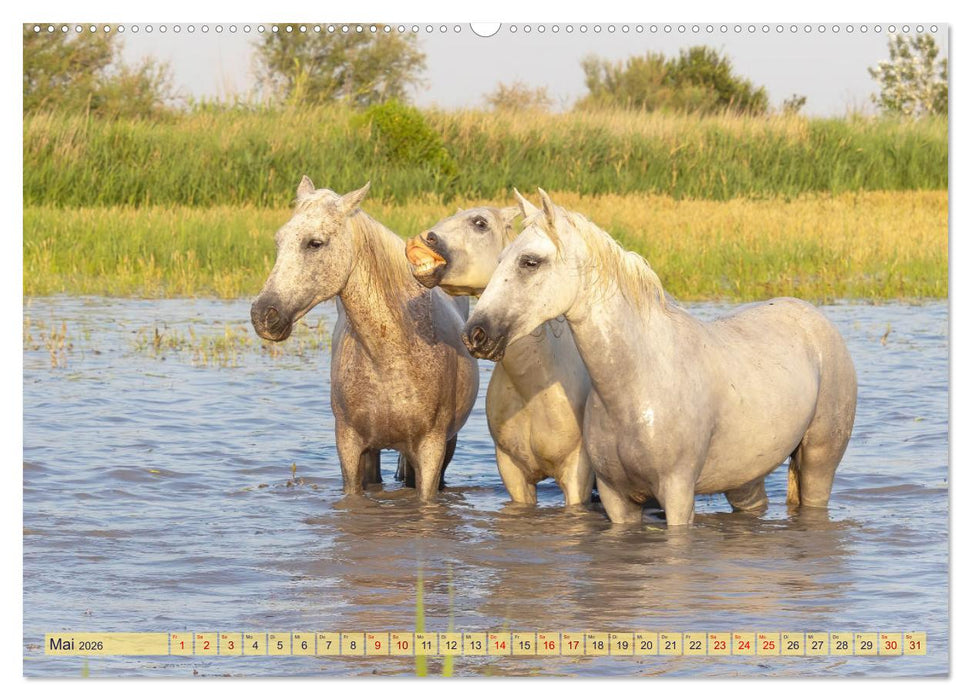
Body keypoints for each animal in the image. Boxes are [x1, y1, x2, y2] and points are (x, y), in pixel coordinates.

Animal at [251, 177, 479, 501]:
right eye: (279, 241)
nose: (263, 314)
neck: (390, 355)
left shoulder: (430, 451)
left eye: (315, 243)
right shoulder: (350, 447)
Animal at [463, 190, 857, 527]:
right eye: (500, 260)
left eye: (530, 262)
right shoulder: (616, 497)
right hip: (745, 477)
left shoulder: (677, 492)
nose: (475, 334)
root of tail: (813, 318)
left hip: (819, 461)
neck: (637, 382)